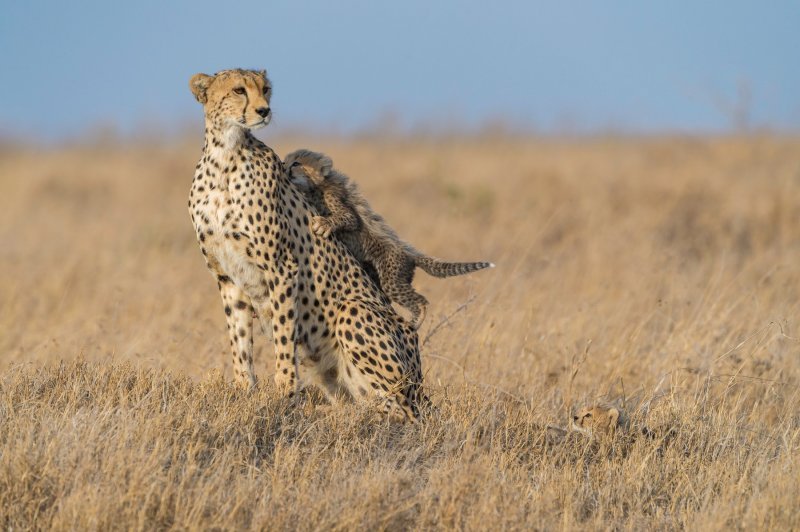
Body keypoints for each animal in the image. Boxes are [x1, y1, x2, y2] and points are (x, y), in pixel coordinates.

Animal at [188, 69, 428, 420]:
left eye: (266, 89)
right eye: (238, 90)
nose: (264, 111)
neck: (225, 157)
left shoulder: (281, 268)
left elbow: (284, 338)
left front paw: (285, 396)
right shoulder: (227, 276)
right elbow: (239, 342)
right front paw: (245, 392)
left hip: (355, 314)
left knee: (401, 412)